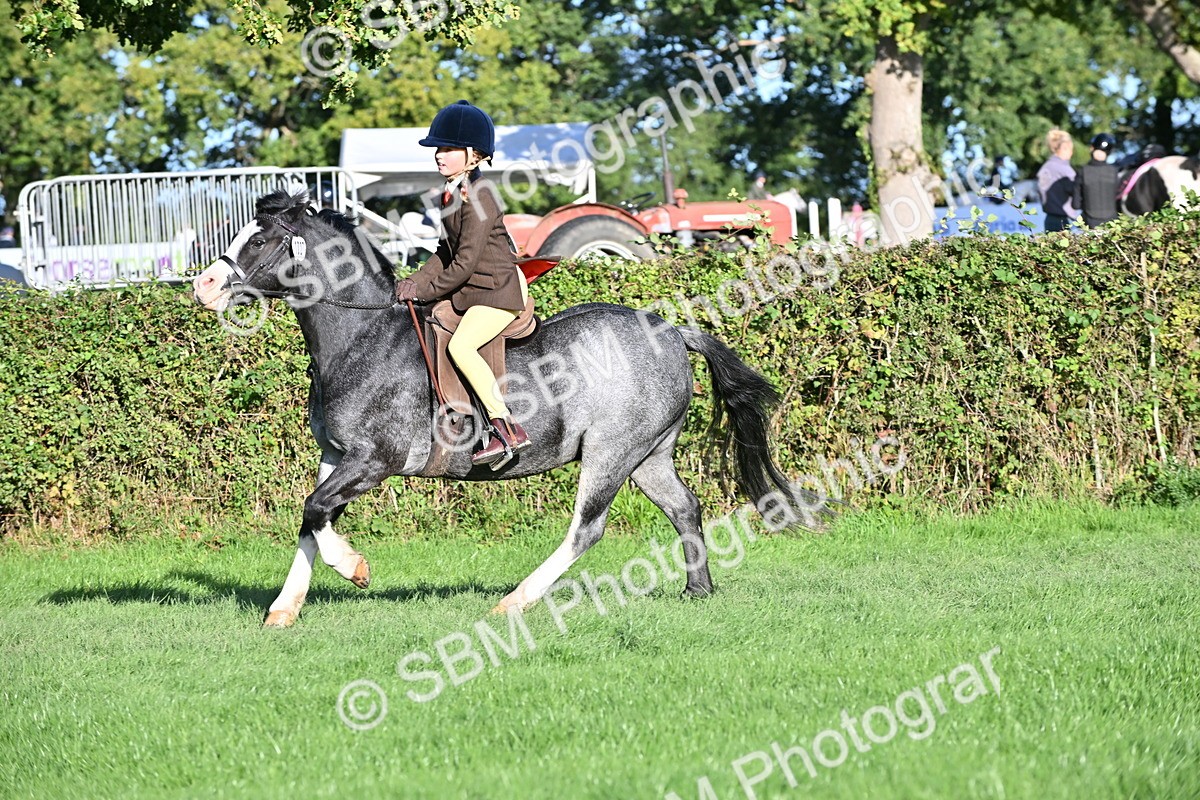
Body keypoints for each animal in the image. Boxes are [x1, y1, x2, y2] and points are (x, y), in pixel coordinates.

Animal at [192, 190, 825, 627]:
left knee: (587, 529)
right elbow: (311, 518)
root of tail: (671, 329)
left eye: (259, 241)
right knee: (684, 507)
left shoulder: (374, 460)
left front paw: (355, 569)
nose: (203, 286)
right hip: (648, 454)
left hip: (610, 451)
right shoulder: (337, 456)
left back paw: (514, 602)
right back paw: (697, 592)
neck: (361, 336)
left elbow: (315, 509)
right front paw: (284, 610)